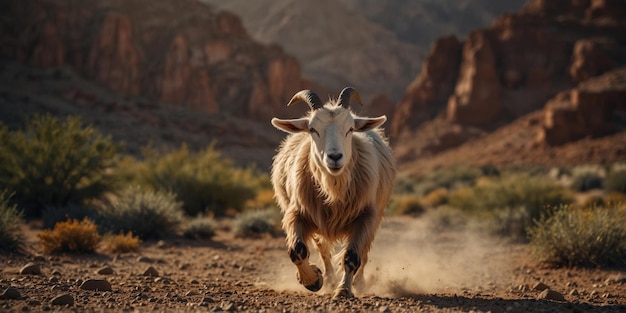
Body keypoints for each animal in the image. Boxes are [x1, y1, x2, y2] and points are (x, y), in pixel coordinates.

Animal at [270, 86, 394, 298]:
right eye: (313, 129)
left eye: (350, 129)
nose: (334, 157)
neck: (334, 189)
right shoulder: (296, 213)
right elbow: (297, 251)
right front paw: (312, 279)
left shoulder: (366, 217)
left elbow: (352, 256)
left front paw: (344, 289)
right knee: (323, 251)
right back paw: (328, 279)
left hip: (376, 216)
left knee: (364, 252)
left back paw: (359, 283)